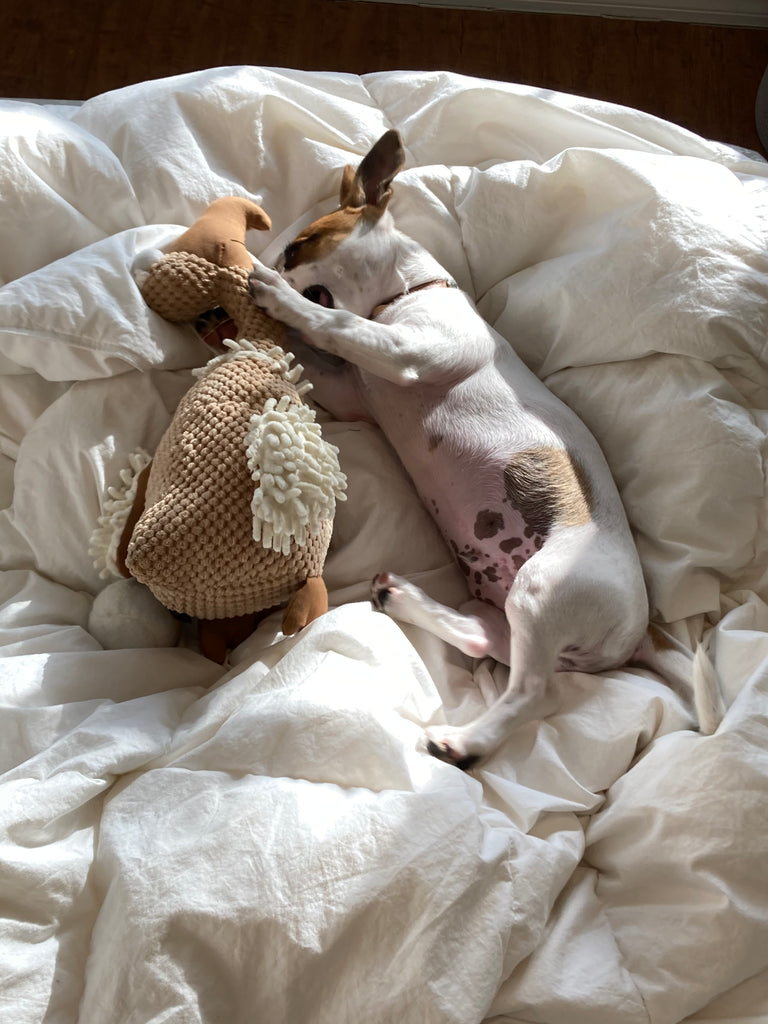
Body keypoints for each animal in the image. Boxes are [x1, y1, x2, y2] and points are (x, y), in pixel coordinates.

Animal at [246, 130, 720, 770]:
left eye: (298, 246)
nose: (273, 263)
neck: (402, 296)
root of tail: (640, 632)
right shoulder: (352, 393)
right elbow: (323, 358)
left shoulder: (401, 351)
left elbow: (333, 323)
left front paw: (273, 295)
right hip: (513, 613)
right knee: (483, 639)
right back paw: (402, 599)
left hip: (542, 592)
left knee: (531, 692)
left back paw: (462, 742)